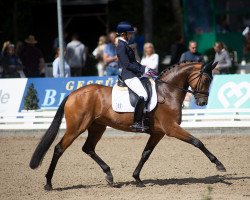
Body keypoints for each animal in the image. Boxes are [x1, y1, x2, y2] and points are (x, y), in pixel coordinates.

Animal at [29, 60, 227, 189]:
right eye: (206, 80)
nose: (202, 102)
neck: (168, 91)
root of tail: (73, 94)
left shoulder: (158, 133)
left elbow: (146, 153)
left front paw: (137, 179)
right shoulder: (171, 129)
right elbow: (197, 142)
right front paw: (219, 164)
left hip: (97, 126)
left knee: (88, 148)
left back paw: (109, 175)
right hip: (77, 127)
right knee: (59, 148)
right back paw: (48, 183)